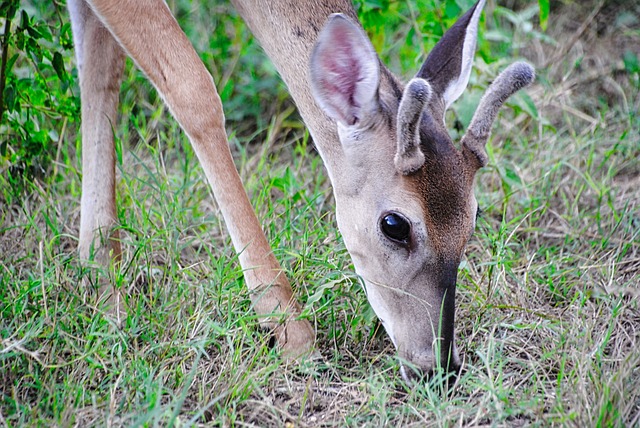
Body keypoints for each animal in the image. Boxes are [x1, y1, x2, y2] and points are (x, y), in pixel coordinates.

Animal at [66, 0, 536, 382]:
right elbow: (192, 88)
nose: (439, 366)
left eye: (473, 218)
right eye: (394, 224)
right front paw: (289, 330)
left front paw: (103, 286)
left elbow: (99, 68)